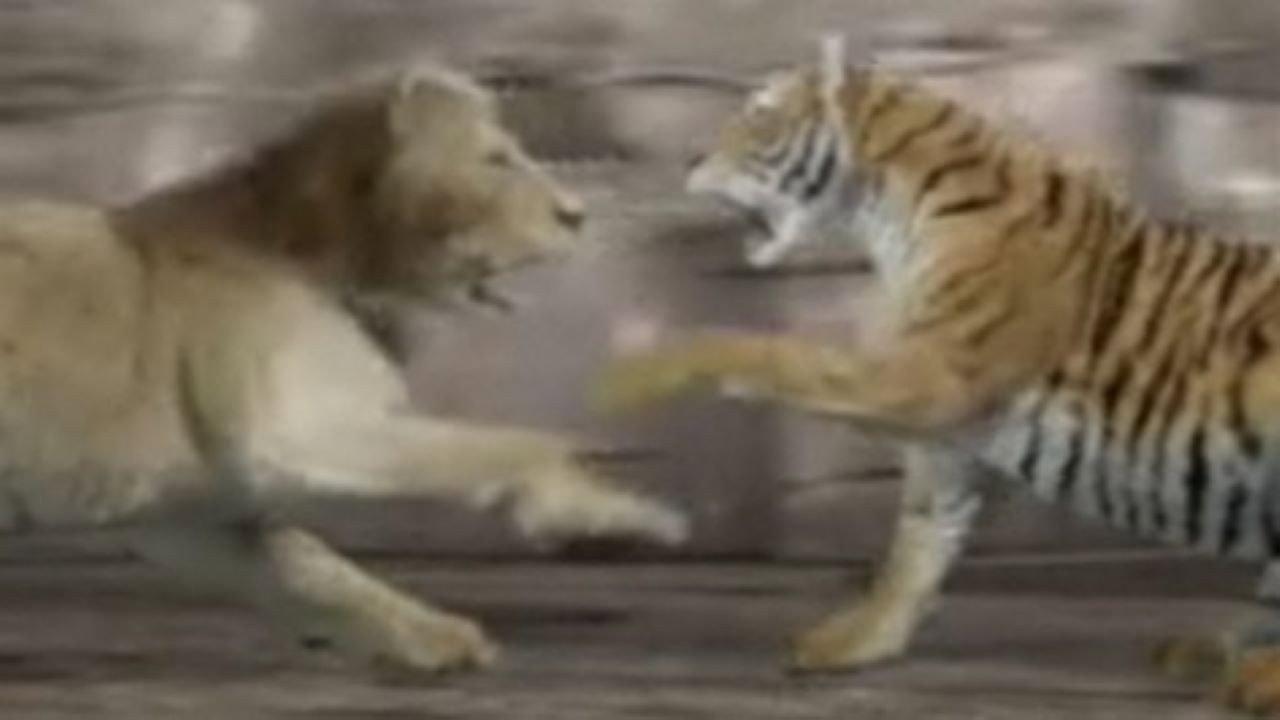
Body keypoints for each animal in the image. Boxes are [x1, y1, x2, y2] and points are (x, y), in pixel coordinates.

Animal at [0, 63, 687, 679]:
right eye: (497, 160)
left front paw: (430, 636)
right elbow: (514, 447)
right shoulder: (293, 435)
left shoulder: (190, 508)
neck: (328, 257)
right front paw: (599, 511)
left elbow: (307, 568)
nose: (577, 214)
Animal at [595, 37, 1280, 714]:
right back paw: (1213, 652)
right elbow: (920, 541)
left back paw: (1253, 676)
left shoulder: (930, 376)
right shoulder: (947, 431)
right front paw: (860, 639)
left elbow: (765, 352)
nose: (690, 159)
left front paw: (637, 374)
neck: (885, 213)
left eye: (761, 114)